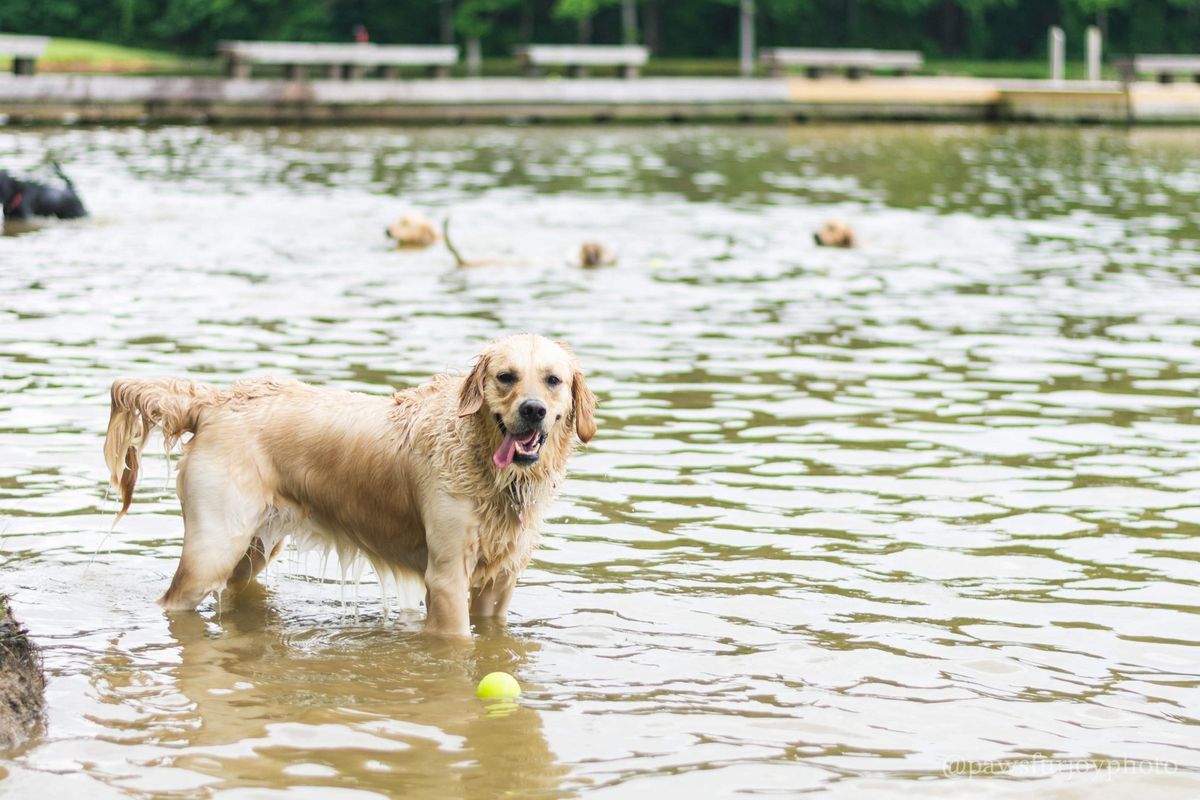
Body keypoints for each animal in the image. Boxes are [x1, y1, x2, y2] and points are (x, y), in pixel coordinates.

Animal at [103, 333, 595, 638]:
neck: (486, 463)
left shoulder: (500, 580)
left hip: (253, 546)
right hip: (213, 546)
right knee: (175, 600)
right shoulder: (447, 575)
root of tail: (214, 401)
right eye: (505, 377)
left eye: (553, 380)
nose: (532, 410)